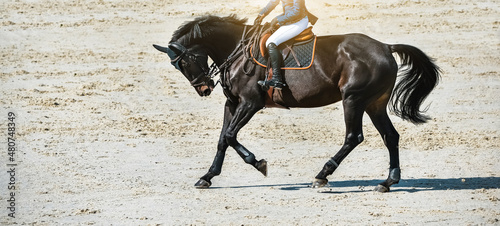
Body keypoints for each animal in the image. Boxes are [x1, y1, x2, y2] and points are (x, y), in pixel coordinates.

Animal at [154, 15, 440, 192]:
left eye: (184, 62)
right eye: (178, 66)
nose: (204, 89)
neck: (236, 50)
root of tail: (385, 47)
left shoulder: (250, 103)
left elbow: (231, 136)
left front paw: (258, 163)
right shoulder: (232, 104)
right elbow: (223, 139)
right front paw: (207, 177)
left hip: (353, 99)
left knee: (353, 136)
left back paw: (322, 175)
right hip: (374, 104)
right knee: (390, 136)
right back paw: (387, 182)